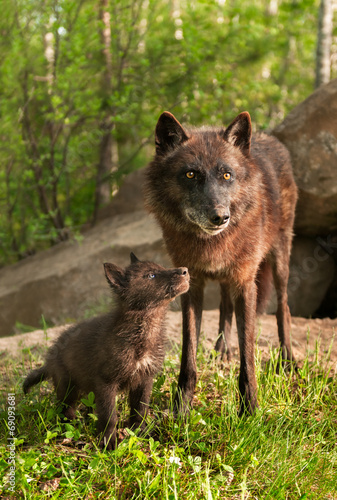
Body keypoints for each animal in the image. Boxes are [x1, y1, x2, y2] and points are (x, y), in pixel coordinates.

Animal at [144, 111, 296, 416]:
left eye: (227, 175)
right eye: (190, 174)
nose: (220, 217)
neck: (212, 245)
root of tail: (270, 138)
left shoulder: (245, 283)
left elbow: (247, 356)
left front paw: (250, 410)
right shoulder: (191, 285)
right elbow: (188, 355)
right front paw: (181, 409)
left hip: (279, 260)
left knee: (283, 308)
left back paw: (287, 361)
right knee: (225, 307)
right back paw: (221, 351)